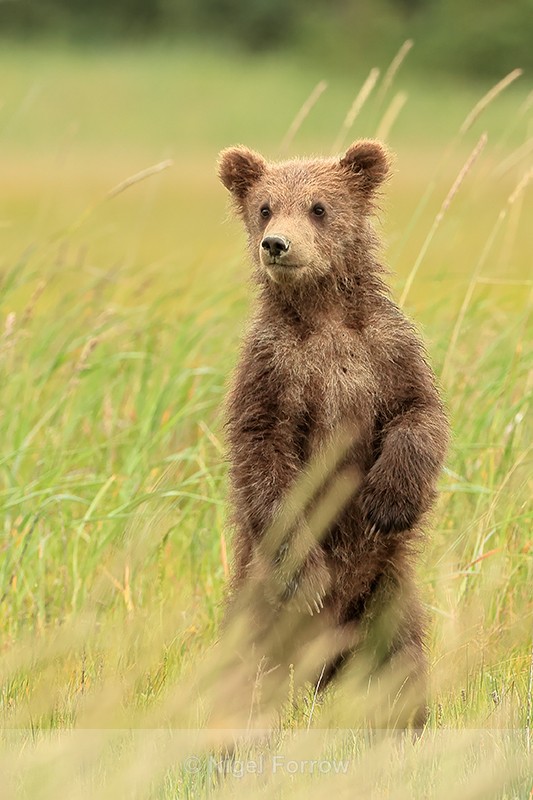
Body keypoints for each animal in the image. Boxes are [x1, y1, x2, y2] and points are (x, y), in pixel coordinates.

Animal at [217, 139, 449, 728]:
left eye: (319, 207)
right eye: (265, 207)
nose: (276, 244)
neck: (323, 314)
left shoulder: (385, 351)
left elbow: (420, 416)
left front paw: (388, 501)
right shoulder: (272, 371)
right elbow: (264, 458)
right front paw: (309, 577)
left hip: (386, 592)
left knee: (400, 663)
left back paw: (408, 725)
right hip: (258, 604)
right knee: (244, 674)